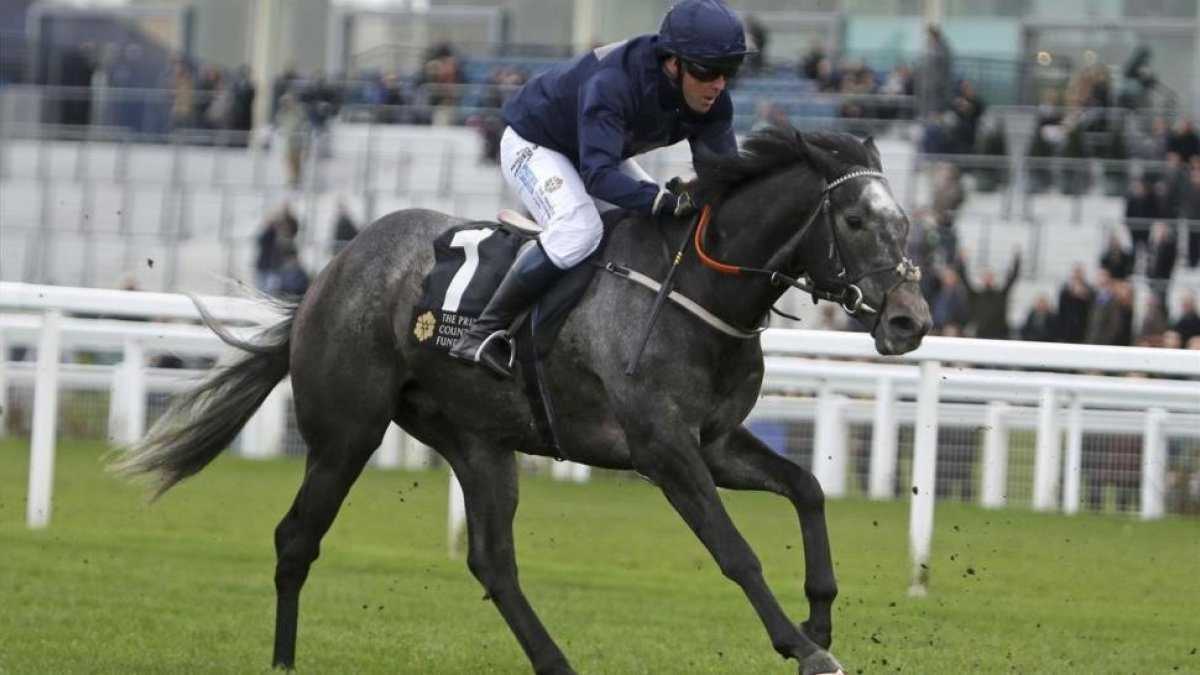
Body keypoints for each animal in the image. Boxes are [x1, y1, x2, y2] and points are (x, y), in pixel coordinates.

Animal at [113, 128, 931, 675]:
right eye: (856, 221)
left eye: (907, 223)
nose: (909, 320)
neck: (699, 289)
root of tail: (330, 271)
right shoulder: (662, 448)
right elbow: (735, 551)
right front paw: (804, 648)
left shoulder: (717, 440)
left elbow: (808, 488)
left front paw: (819, 618)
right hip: (346, 432)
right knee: (295, 539)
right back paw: (283, 661)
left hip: (478, 441)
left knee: (492, 562)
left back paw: (557, 661)